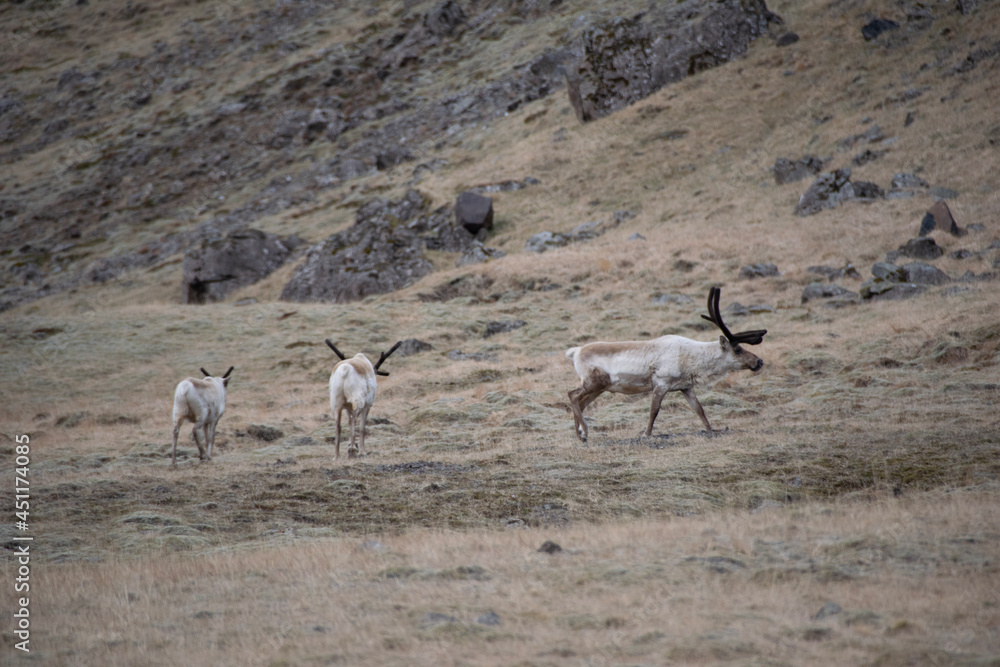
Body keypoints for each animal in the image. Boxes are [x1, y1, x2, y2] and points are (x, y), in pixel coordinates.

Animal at [566, 287, 767, 441]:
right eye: (738, 349)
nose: (759, 361)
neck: (692, 357)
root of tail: (575, 351)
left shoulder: (686, 386)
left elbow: (699, 409)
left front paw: (711, 429)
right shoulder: (661, 383)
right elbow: (654, 411)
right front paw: (646, 434)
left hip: (601, 388)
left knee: (581, 403)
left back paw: (580, 434)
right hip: (595, 381)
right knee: (572, 395)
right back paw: (584, 433)